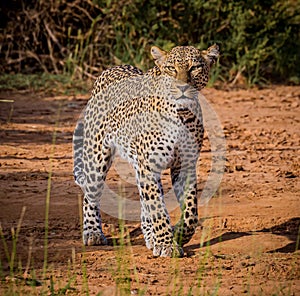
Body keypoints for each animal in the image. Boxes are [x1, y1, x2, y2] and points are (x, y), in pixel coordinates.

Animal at [72, 44, 218, 256]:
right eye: (171, 68)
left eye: (195, 68)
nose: (182, 87)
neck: (181, 114)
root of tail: (111, 68)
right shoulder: (148, 165)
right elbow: (157, 208)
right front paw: (167, 244)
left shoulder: (185, 165)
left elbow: (191, 211)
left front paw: (179, 234)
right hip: (97, 156)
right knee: (91, 195)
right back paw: (93, 233)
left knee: (145, 199)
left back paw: (150, 235)